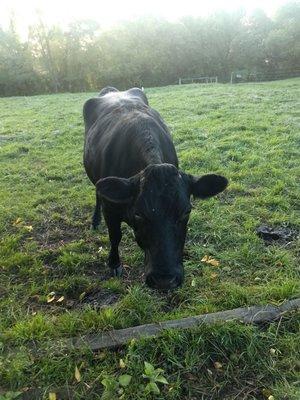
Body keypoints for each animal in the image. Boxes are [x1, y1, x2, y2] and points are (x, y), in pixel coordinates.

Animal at [82, 86, 227, 290]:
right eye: (138, 214)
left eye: (186, 212)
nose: (164, 280)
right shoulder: (110, 208)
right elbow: (115, 236)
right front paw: (114, 264)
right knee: (97, 192)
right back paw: (95, 220)